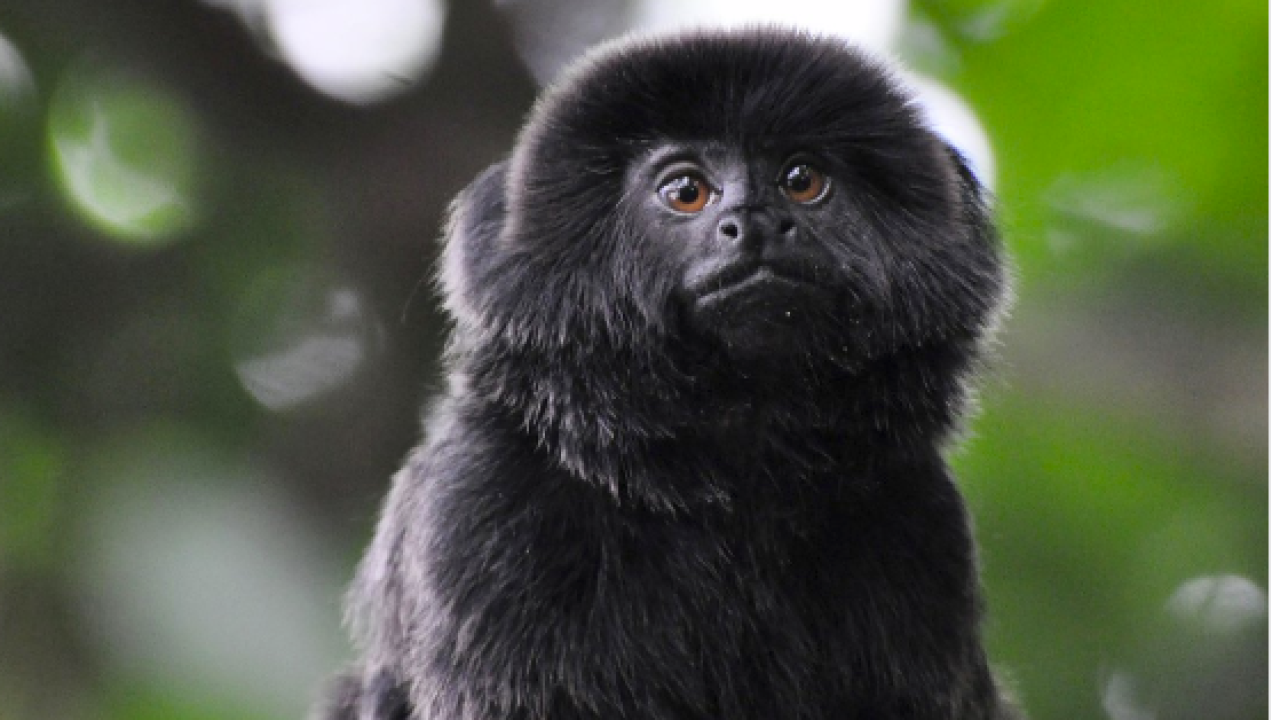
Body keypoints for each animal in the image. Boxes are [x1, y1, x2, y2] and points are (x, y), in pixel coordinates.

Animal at [316, 27, 1022, 720]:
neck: (729, 482)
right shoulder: (477, 508)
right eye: (687, 192)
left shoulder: (922, 524)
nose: (755, 223)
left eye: (801, 179)